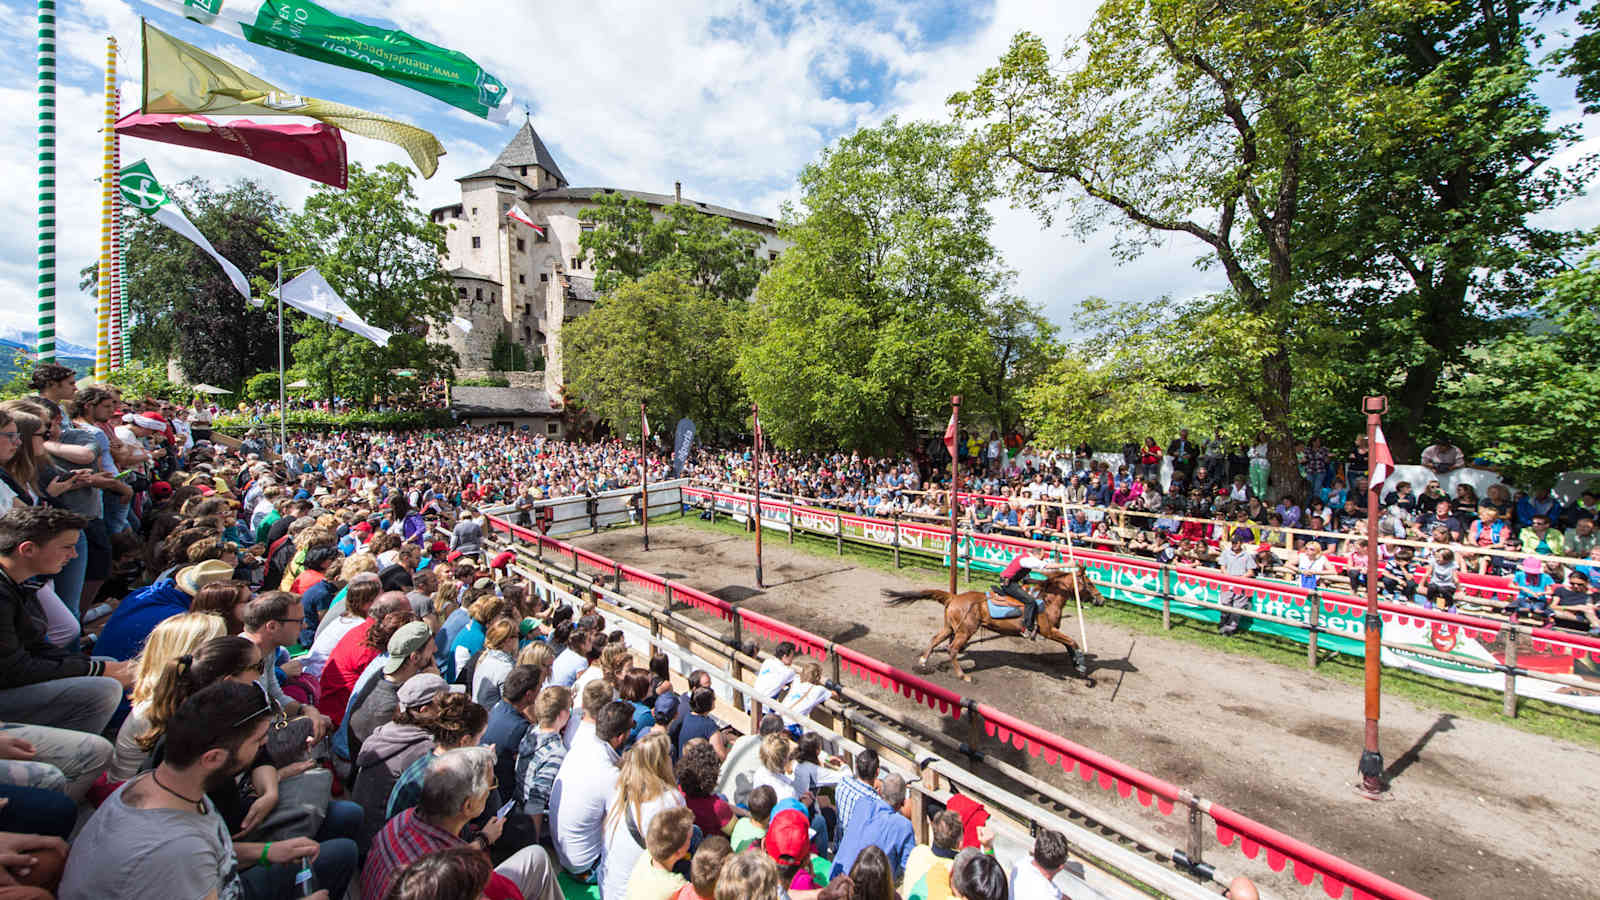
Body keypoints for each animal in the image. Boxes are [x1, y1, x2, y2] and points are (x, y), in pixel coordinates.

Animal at [883, 563, 1107, 682]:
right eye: (1089, 582)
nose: (1101, 599)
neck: (1048, 598)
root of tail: (953, 597)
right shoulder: (1048, 630)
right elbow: (1072, 642)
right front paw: (1081, 666)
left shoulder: (1052, 631)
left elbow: (1070, 644)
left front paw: (1077, 664)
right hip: (965, 631)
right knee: (952, 649)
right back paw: (963, 676)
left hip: (950, 627)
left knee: (935, 639)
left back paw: (923, 662)